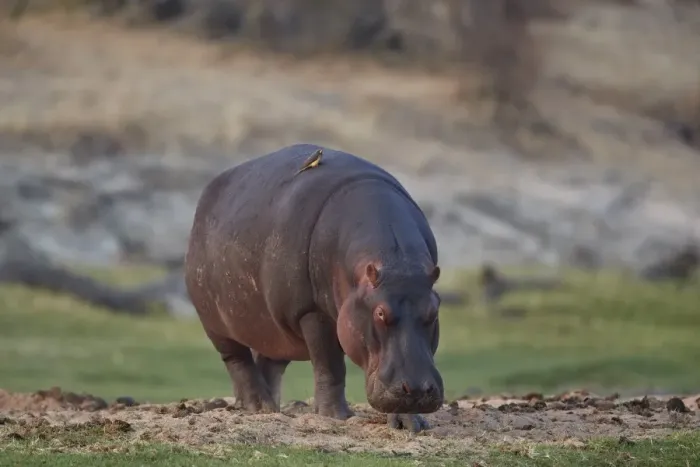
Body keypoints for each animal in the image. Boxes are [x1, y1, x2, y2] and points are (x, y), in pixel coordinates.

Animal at [184, 143, 444, 432]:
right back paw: (257, 406)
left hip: (275, 327)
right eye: (380, 313)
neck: (396, 261)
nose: (418, 391)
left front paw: (412, 423)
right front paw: (335, 416)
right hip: (216, 323)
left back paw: (271, 410)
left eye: (434, 312)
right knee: (238, 361)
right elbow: (330, 365)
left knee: (269, 362)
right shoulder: (311, 311)